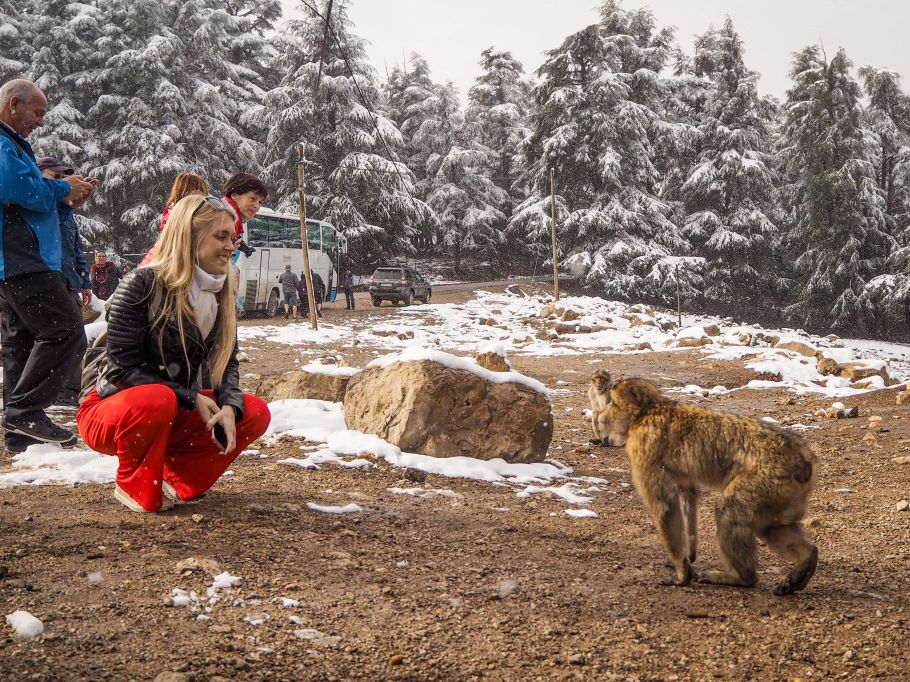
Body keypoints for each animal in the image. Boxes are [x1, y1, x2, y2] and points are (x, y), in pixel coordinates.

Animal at [600, 374, 820, 592]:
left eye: (613, 402)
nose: (602, 416)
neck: (648, 412)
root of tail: (803, 463)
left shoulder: (644, 447)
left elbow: (665, 506)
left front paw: (682, 573)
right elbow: (687, 494)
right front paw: (689, 554)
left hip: (766, 482)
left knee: (729, 511)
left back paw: (742, 578)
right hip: (783, 494)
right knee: (771, 526)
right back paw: (807, 558)